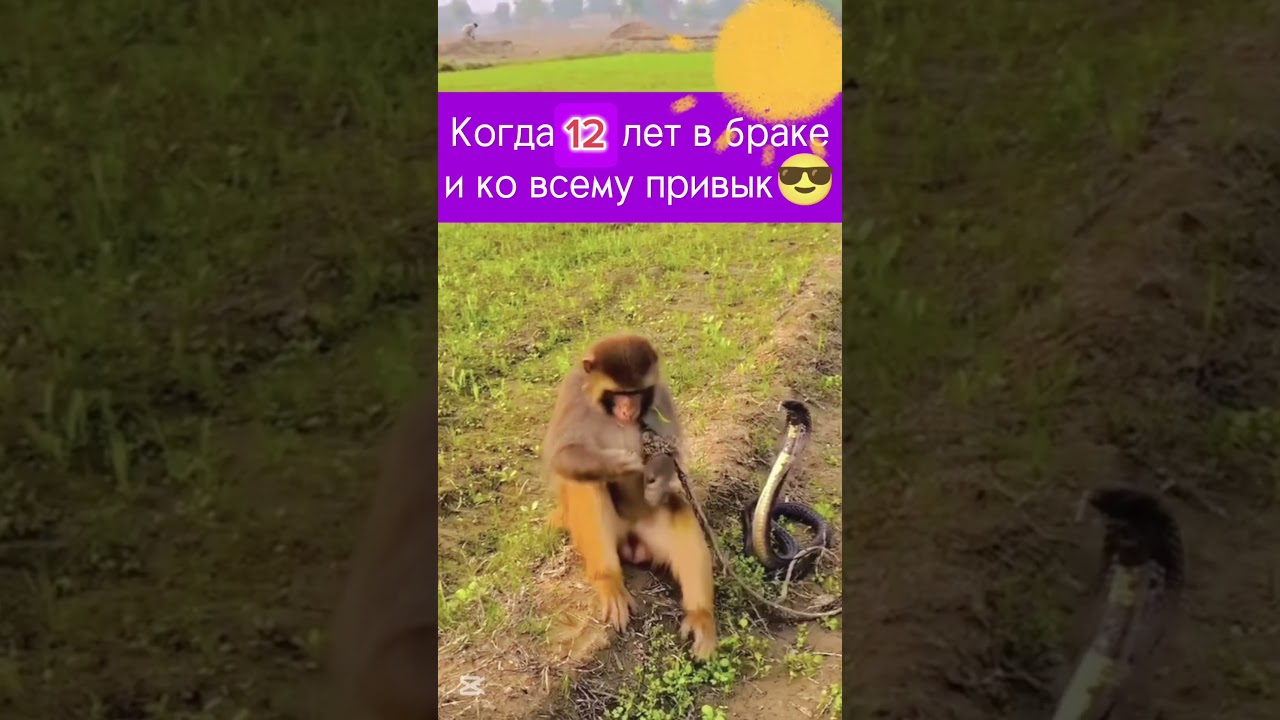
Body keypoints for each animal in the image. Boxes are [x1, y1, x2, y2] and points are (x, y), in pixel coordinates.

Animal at [542, 333, 717, 660]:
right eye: (618, 394)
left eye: (636, 393)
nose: (629, 411)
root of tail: (633, 543)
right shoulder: (573, 394)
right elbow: (563, 455)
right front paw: (619, 464)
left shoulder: (660, 394)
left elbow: (672, 449)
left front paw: (656, 475)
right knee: (588, 486)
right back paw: (609, 581)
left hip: (650, 528)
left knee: (676, 506)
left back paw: (701, 616)